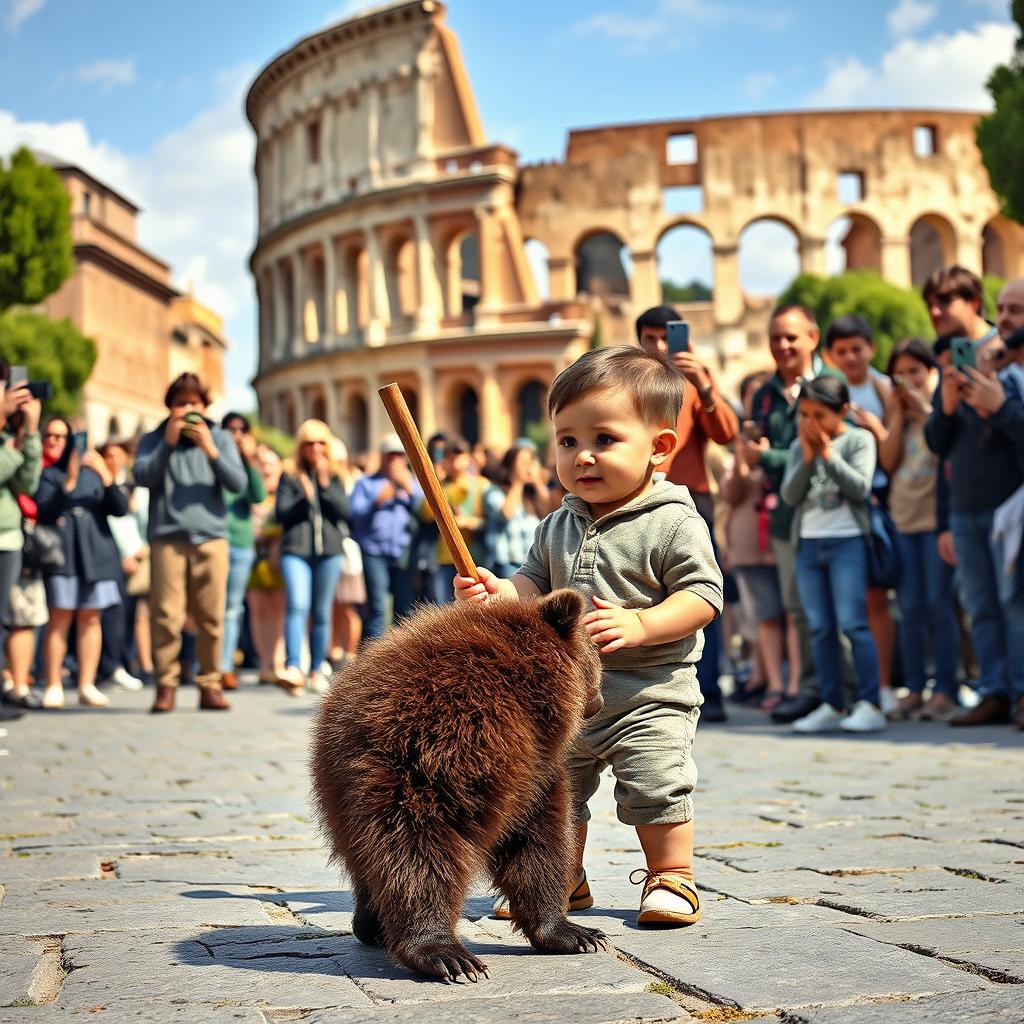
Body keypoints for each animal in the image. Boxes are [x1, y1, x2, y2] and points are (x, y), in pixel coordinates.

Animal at [309, 588, 607, 981]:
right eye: (598, 663)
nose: (599, 701)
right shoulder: (501, 749)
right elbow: (543, 837)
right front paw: (578, 933)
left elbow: (534, 837)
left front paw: (572, 932)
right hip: (409, 780)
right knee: (420, 853)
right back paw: (445, 953)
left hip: (341, 794)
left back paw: (370, 924)